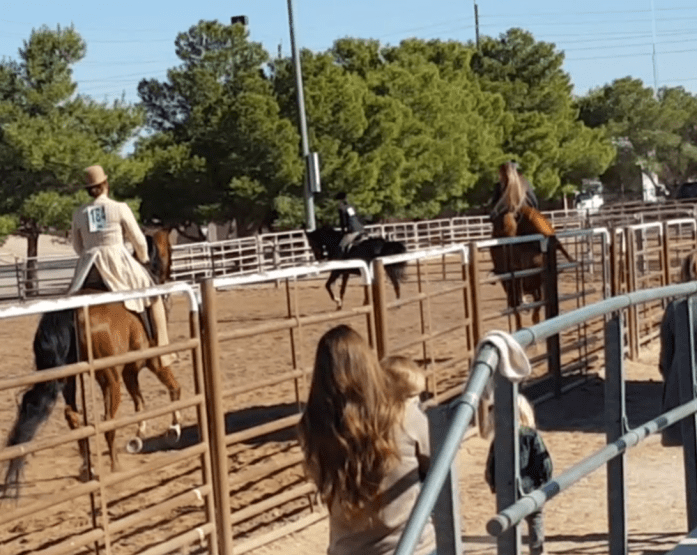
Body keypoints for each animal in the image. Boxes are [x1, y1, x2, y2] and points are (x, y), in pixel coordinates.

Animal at [1, 230, 180, 499]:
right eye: (172, 247)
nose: (171, 275)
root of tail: (74, 309)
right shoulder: (152, 361)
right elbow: (172, 389)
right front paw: (173, 430)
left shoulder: (130, 371)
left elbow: (140, 402)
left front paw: (138, 437)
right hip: (109, 378)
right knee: (107, 420)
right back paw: (115, 468)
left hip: (69, 379)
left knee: (74, 418)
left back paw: (88, 468)